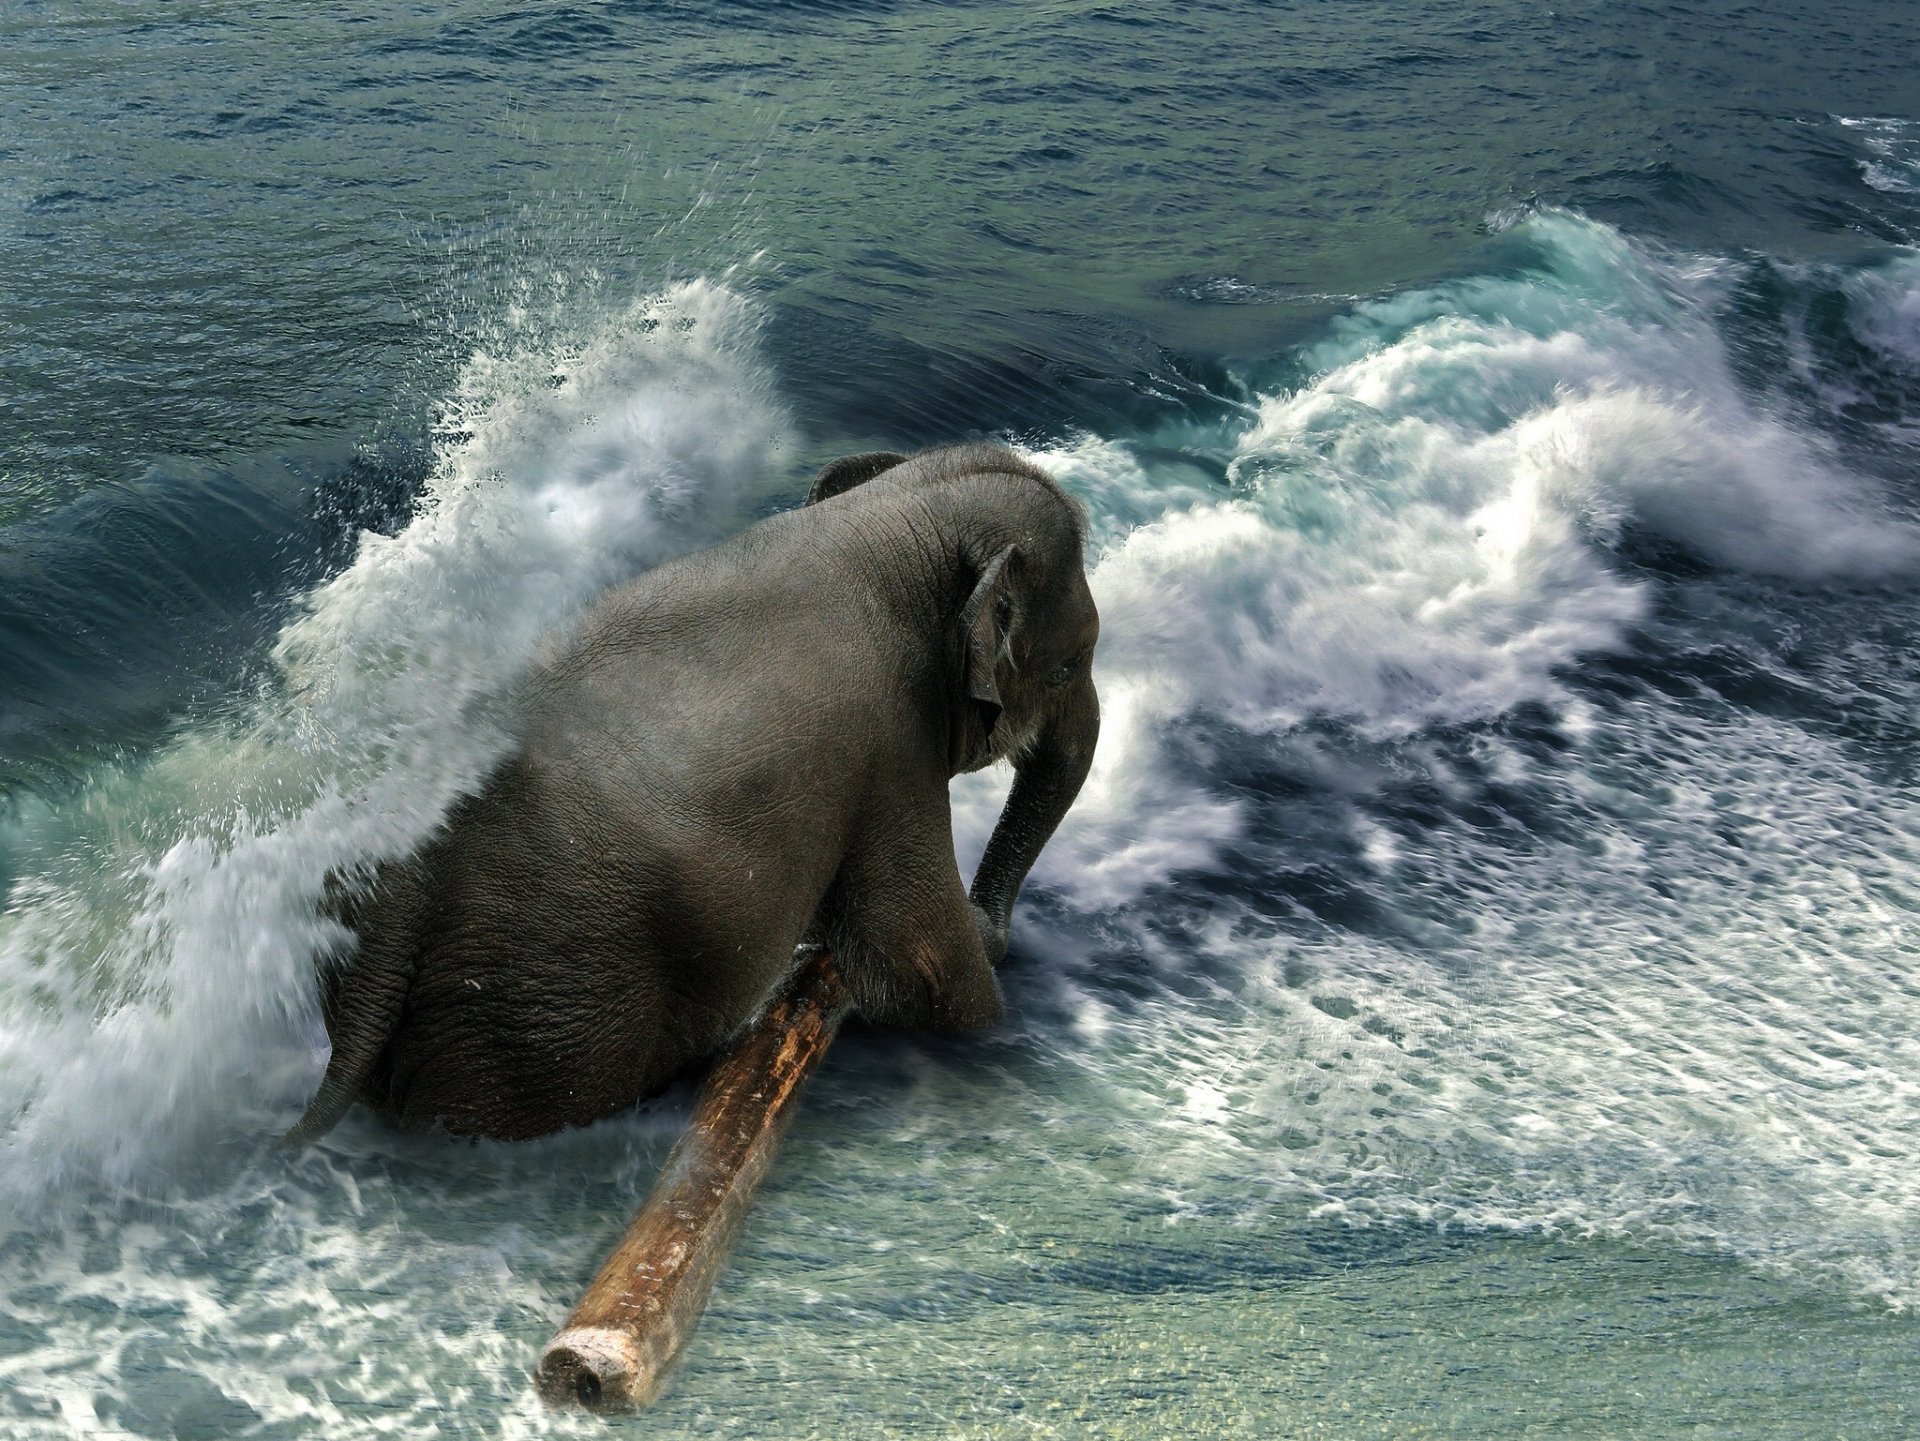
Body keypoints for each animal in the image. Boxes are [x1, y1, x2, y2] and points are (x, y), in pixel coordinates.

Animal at [284, 442, 1101, 1144]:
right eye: (1070, 664)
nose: (996, 926)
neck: (884, 518)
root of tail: (398, 902)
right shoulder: (894, 750)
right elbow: (919, 961)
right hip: (537, 1015)